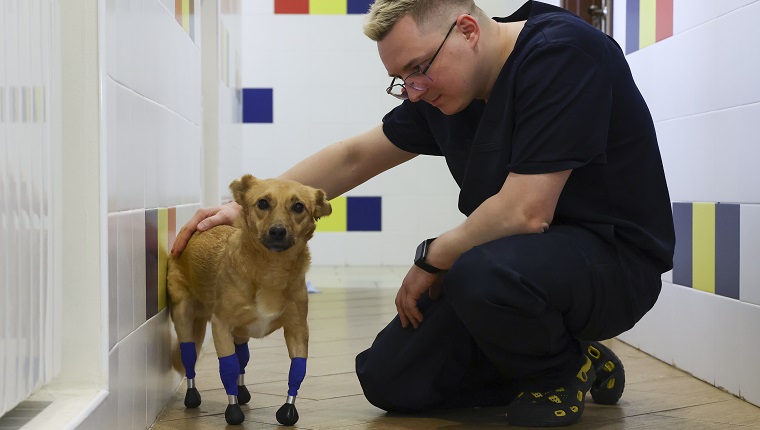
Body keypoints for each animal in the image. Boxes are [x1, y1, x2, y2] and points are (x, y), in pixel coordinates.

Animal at [168, 175, 332, 426]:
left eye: (298, 207)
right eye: (262, 203)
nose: (277, 231)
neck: (271, 269)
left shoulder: (297, 329)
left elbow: (297, 370)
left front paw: (288, 410)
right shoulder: (221, 326)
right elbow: (228, 367)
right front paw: (233, 411)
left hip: (240, 331)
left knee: (242, 357)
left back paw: (242, 391)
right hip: (184, 316)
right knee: (189, 357)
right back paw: (192, 395)